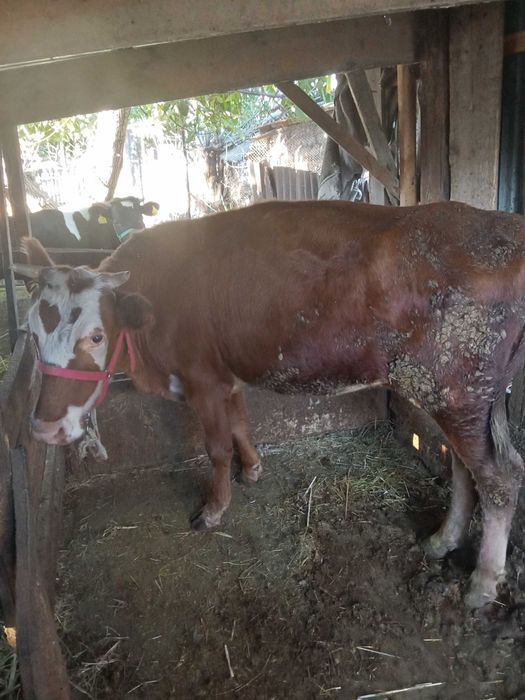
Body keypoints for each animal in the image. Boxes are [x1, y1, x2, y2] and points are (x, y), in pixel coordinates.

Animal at [13, 199, 525, 609]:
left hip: (458, 392)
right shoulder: (226, 378)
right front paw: (254, 469)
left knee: (499, 477)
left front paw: (214, 508)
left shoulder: (201, 380)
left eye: (96, 336)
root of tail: (501, 224)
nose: (45, 429)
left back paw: (482, 582)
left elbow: (217, 448)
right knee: (464, 468)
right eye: (31, 333)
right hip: (458, 398)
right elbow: (242, 425)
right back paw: (442, 539)